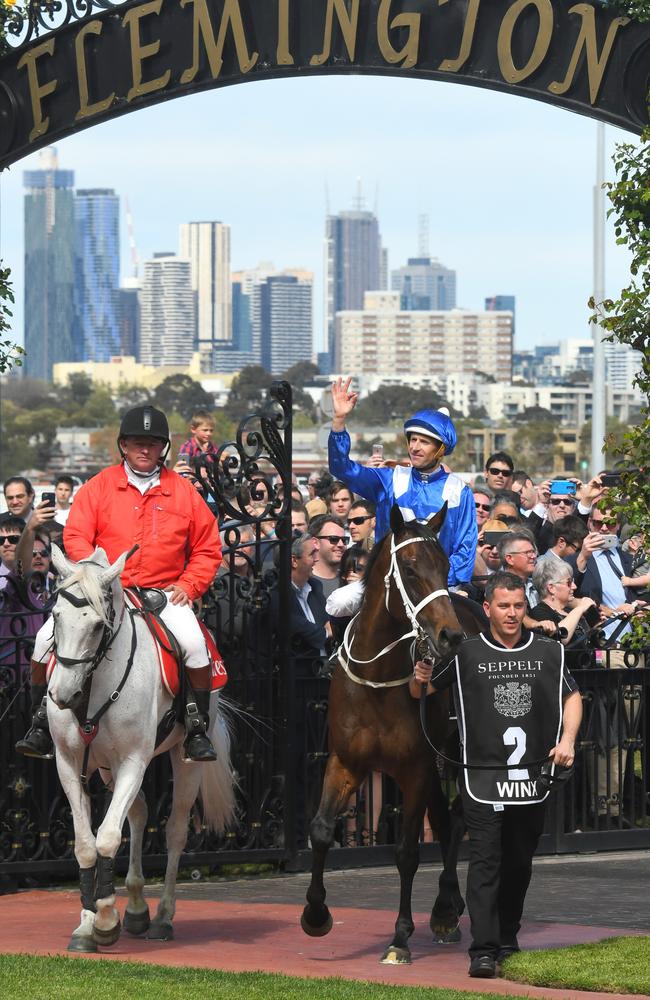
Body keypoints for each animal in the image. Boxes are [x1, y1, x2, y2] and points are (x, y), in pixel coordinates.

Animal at [46, 548, 238, 952]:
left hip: (184, 759)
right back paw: (135, 906)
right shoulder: (70, 764)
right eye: (56, 616)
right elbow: (86, 843)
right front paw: (87, 924)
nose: (62, 695)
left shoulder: (134, 760)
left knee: (175, 830)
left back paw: (162, 917)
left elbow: (106, 836)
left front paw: (105, 918)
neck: (93, 688)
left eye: (98, 626)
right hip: (109, 768)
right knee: (137, 815)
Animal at [302, 504, 478, 964]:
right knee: (446, 819)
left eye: (445, 566)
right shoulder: (346, 761)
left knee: (456, 818)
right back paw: (447, 909)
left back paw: (444, 909)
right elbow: (321, 829)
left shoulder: (415, 769)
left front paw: (400, 938)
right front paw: (315, 915)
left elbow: (406, 852)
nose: (451, 636)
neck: (376, 679)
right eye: (412, 570)